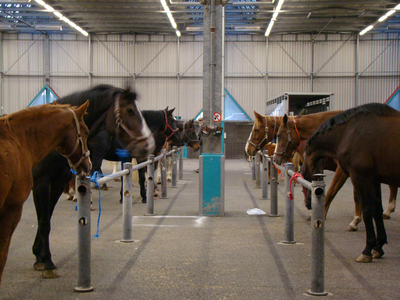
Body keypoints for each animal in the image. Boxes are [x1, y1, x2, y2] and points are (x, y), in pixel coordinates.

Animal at [30, 83, 153, 278]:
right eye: (130, 110)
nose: (148, 144)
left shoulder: (55, 186)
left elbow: (46, 218)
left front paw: (39, 256)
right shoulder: (41, 185)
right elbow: (43, 221)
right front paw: (47, 262)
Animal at [300, 103, 400, 262]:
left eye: (304, 173)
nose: (308, 204)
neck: (346, 134)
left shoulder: (360, 176)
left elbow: (367, 210)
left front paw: (367, 249)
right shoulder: (374, 179)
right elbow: (376, 210)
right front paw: (378, 247)